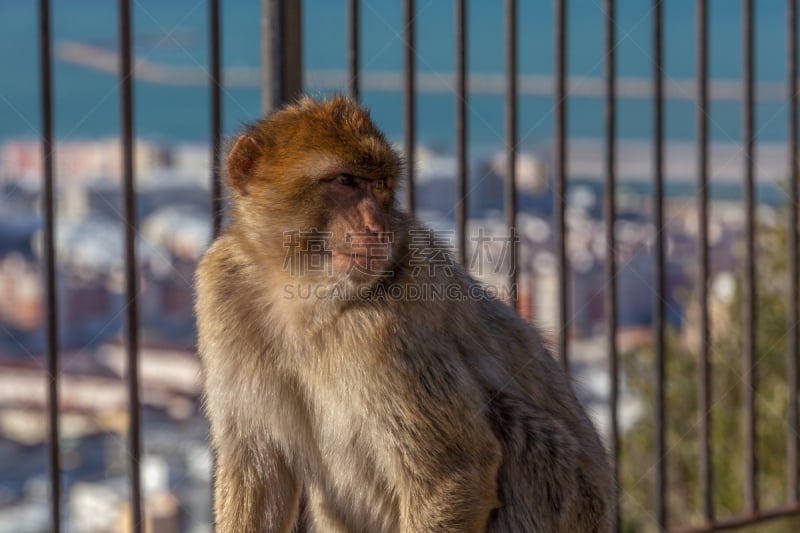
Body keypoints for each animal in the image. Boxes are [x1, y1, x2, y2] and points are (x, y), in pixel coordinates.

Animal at [195, 95, 612, 532]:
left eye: (379, 187)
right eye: (345, 182)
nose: (377, 227)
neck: (303, 296)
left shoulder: (393, 331)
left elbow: (453, 473)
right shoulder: (219, 294)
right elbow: (257, 472)